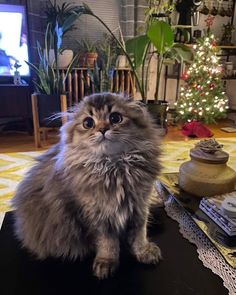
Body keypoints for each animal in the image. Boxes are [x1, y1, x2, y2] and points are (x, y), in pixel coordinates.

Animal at [12, 93, 162, 280]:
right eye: (88, 123)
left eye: (115, 118)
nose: (103, 129)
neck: (114, 167)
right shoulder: (96, 215)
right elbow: (107, 242)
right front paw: (106, 262)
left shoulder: (140, 204)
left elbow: (140, 233)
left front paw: (144, 251)